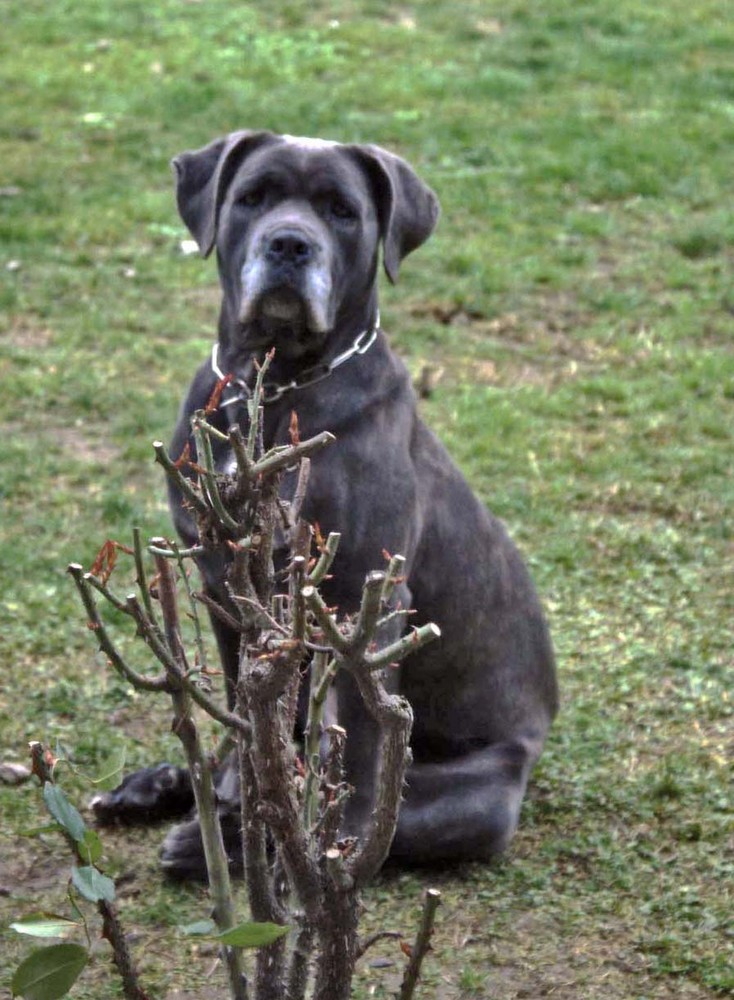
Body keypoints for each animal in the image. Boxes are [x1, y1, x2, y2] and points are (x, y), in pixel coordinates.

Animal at [95, 131, 560, 876]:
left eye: (342, 210)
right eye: (252, 196)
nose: (289, 244)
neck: (269, 384)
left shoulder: (366, 605)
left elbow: (364, 751)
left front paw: (329, 849)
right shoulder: (227, 587)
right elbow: (247, 714)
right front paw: (234, 793)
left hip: (482, 796)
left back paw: (223, 843)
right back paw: (164, 788)